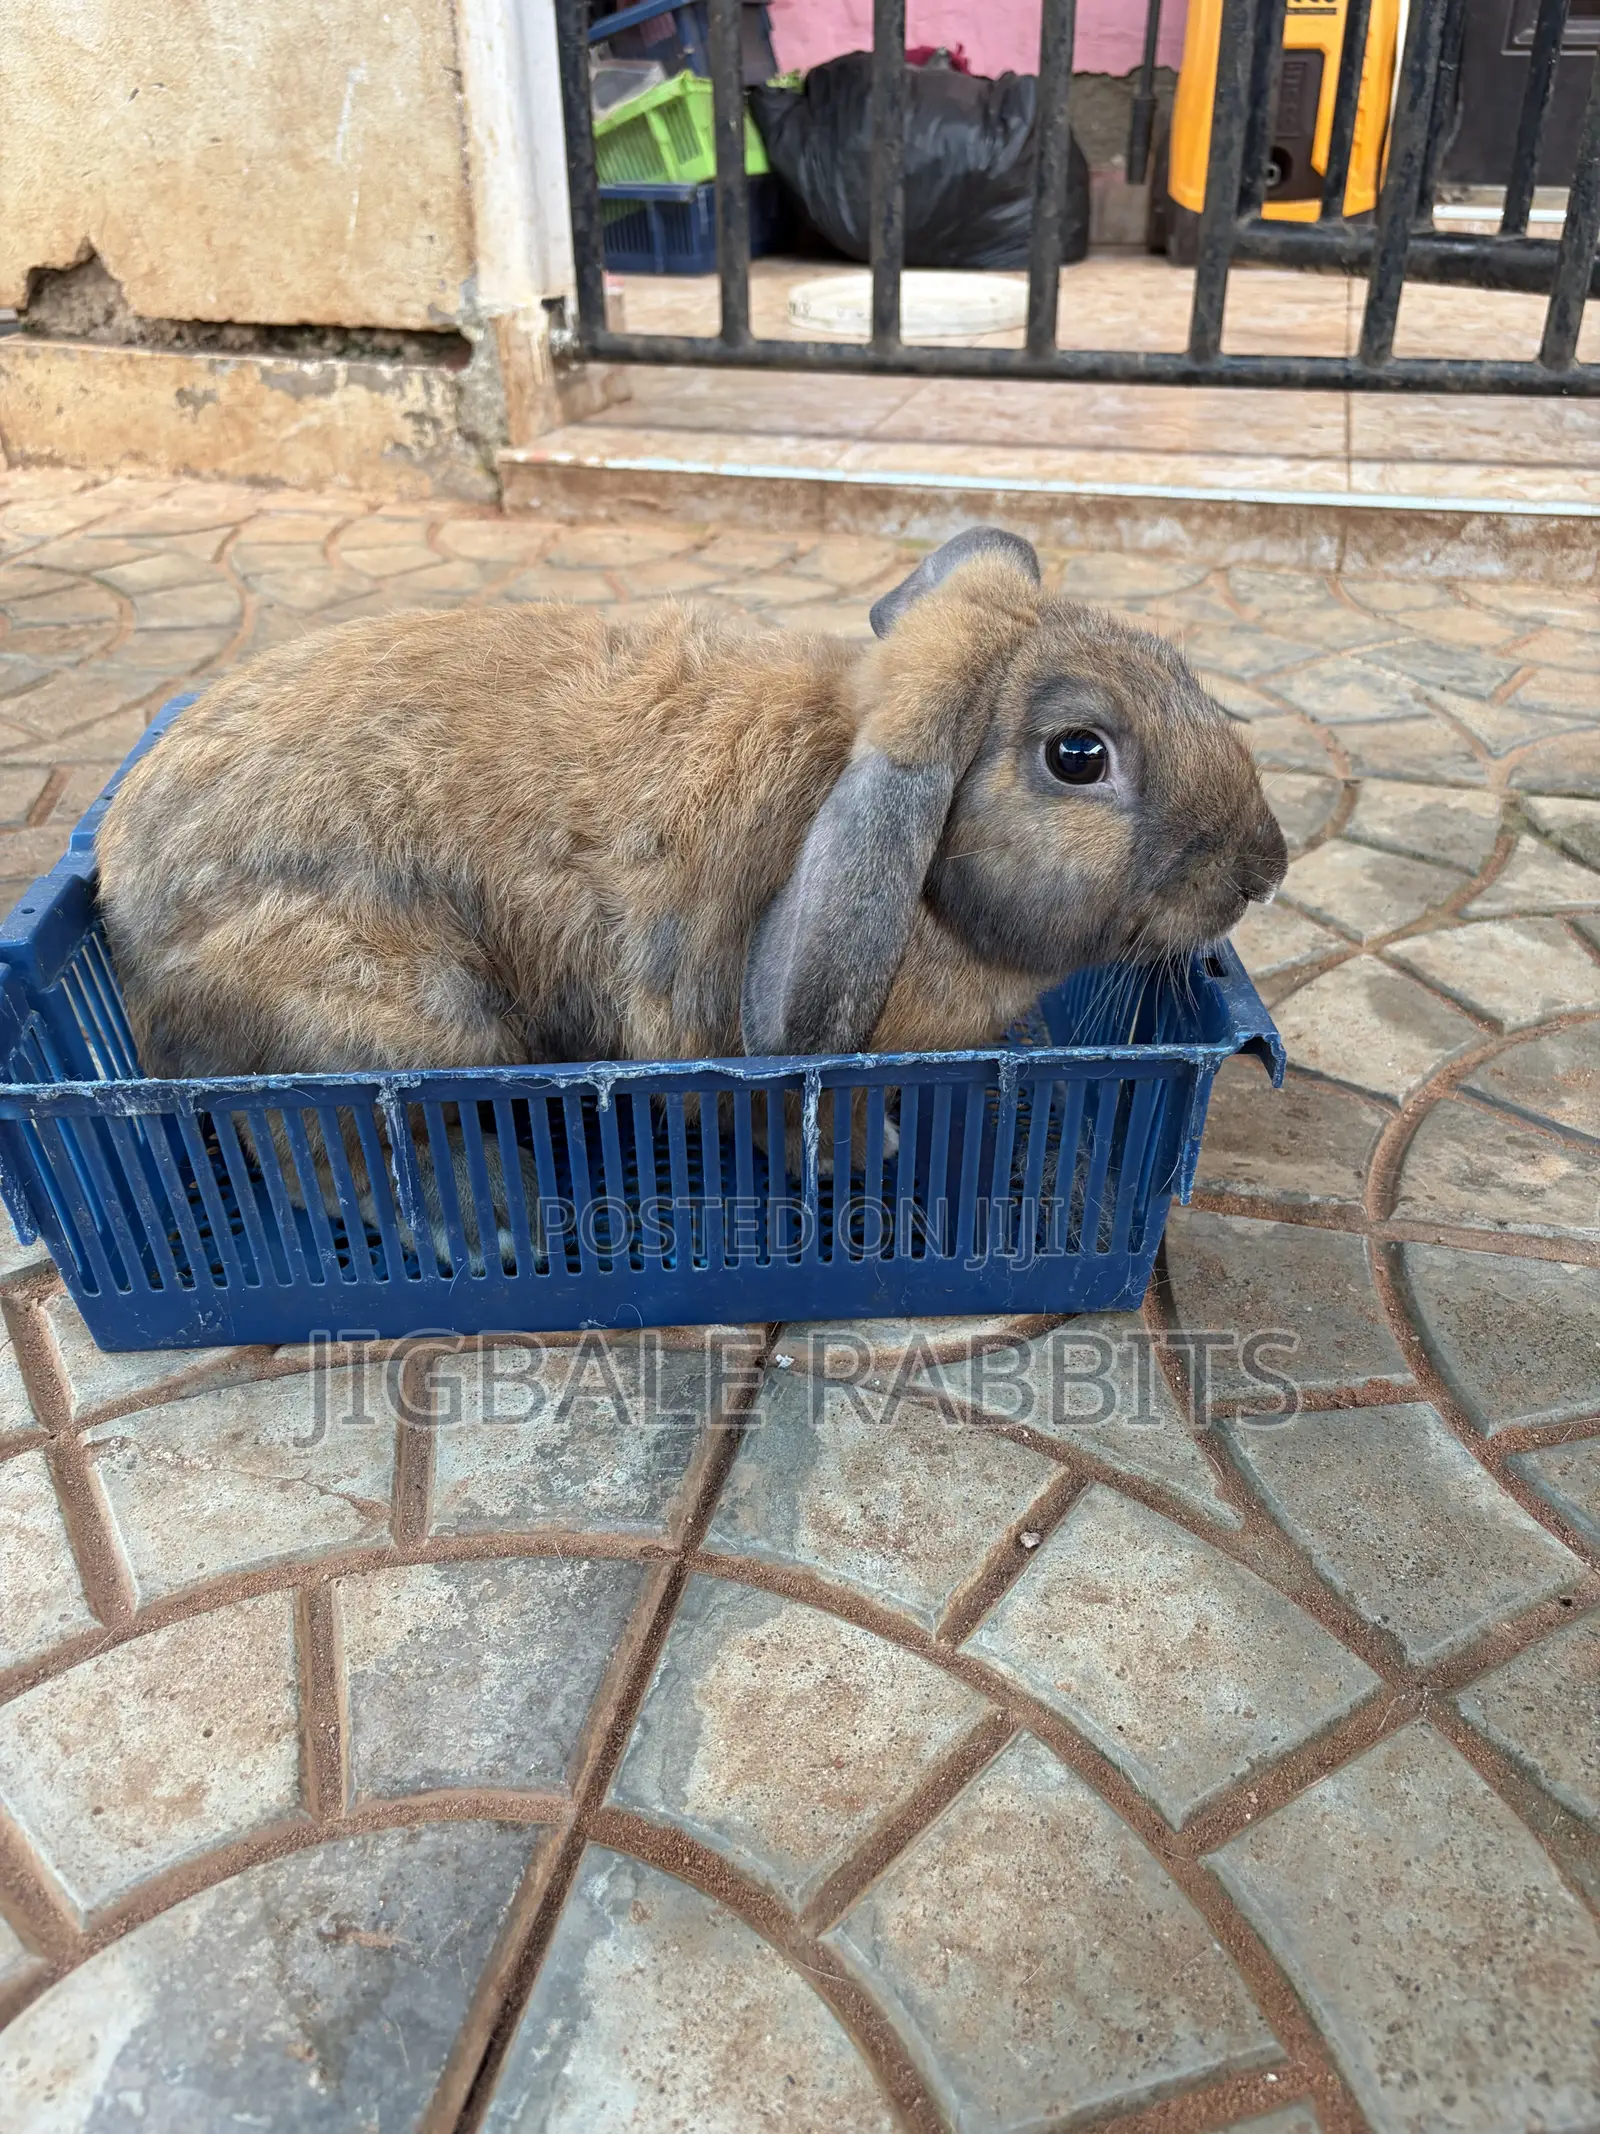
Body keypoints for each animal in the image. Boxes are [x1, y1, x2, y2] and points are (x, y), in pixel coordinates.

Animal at [95, 526, 1287, 1257]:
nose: (1264, 868)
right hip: (403, 1016)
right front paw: (872, 1156)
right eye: (1077, 754)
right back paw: (496, 1224)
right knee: (313, 1144)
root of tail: (120, 911)